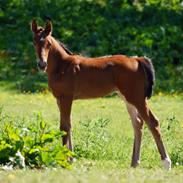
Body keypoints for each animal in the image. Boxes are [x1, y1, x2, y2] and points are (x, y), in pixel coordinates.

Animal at [30, 20, 171, 170]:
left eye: (49, 44)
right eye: (34, 42)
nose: (42, 64)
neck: (62, 66)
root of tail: (137, 59)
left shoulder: (65, 98)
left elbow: (64, 127)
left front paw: (65, 159)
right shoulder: (59, 99)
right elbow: (68, 125)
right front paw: (71, 158)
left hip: (137, 97)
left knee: (152, 122)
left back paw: (166, 162)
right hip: (127, 98)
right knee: (138, 123)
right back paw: (134, 163)